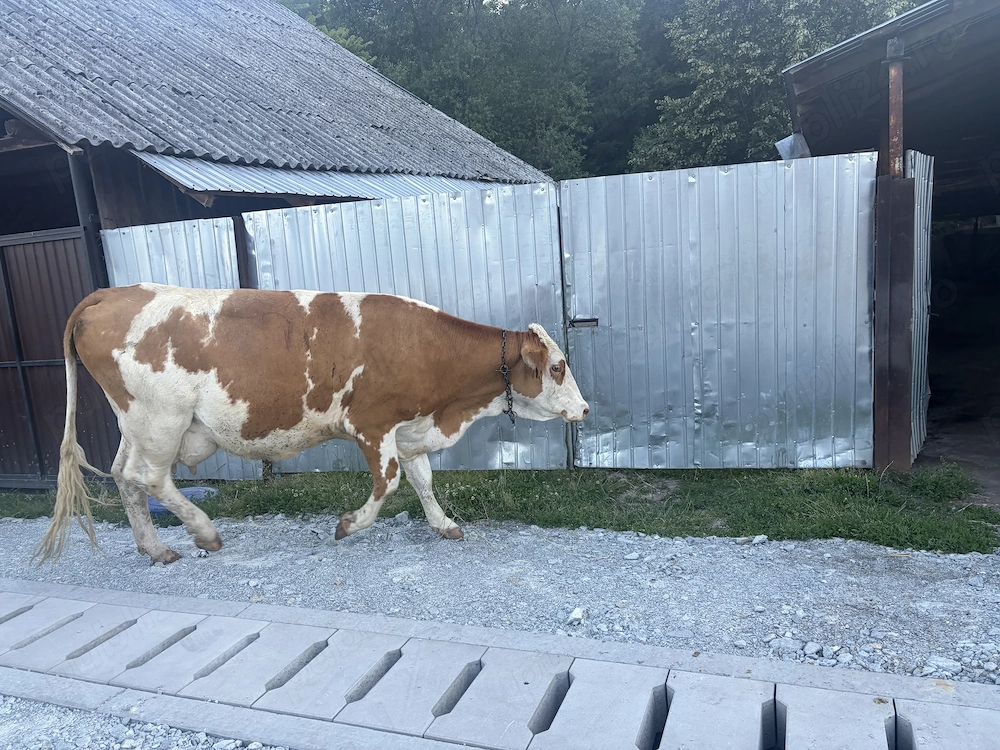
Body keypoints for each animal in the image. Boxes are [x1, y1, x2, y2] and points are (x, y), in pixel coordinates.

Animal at [37, 284, 589, 564]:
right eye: (558, 367)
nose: (584, 409)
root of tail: (111, 292)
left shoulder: (409, 428)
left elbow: (424, 480)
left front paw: (445, 525)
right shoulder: (372, 424)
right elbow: (388, 484)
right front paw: (348, 525)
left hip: (137, 424)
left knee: (125, 477)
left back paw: (155, 548)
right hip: (162, 419)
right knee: (148, 477)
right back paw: (203, 532)